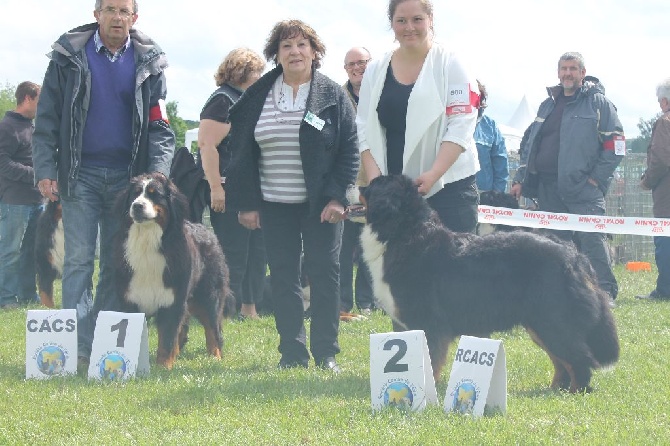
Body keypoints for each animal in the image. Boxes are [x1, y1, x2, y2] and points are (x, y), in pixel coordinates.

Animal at [117, 173, 236, 370]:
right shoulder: (129, 299)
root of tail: (206, 230)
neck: (148, 242)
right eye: (135, 194)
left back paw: (215, 356)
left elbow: (167, 337)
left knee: (213, 328)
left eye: (154, 194)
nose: (137, 205)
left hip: (209, 295)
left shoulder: (172, 299)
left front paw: (163, 367)